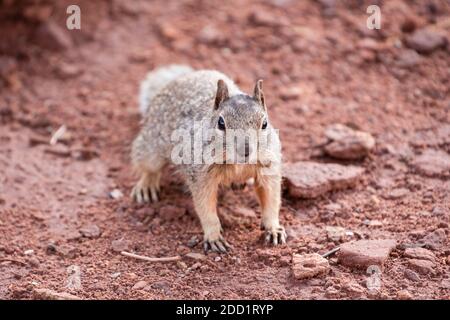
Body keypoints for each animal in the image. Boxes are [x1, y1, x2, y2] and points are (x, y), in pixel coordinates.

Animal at [131, 65, 284, 252]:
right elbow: (205, 207)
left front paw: (273, 228)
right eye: (221, 123)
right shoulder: (201, 176)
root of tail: (181, 78)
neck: (237, 164)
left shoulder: (269, 167)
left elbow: (271, 198)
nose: (246, 150)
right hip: (151, 148)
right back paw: (147, 186)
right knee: (146, 164)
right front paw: (214, 237)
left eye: (265, 124)